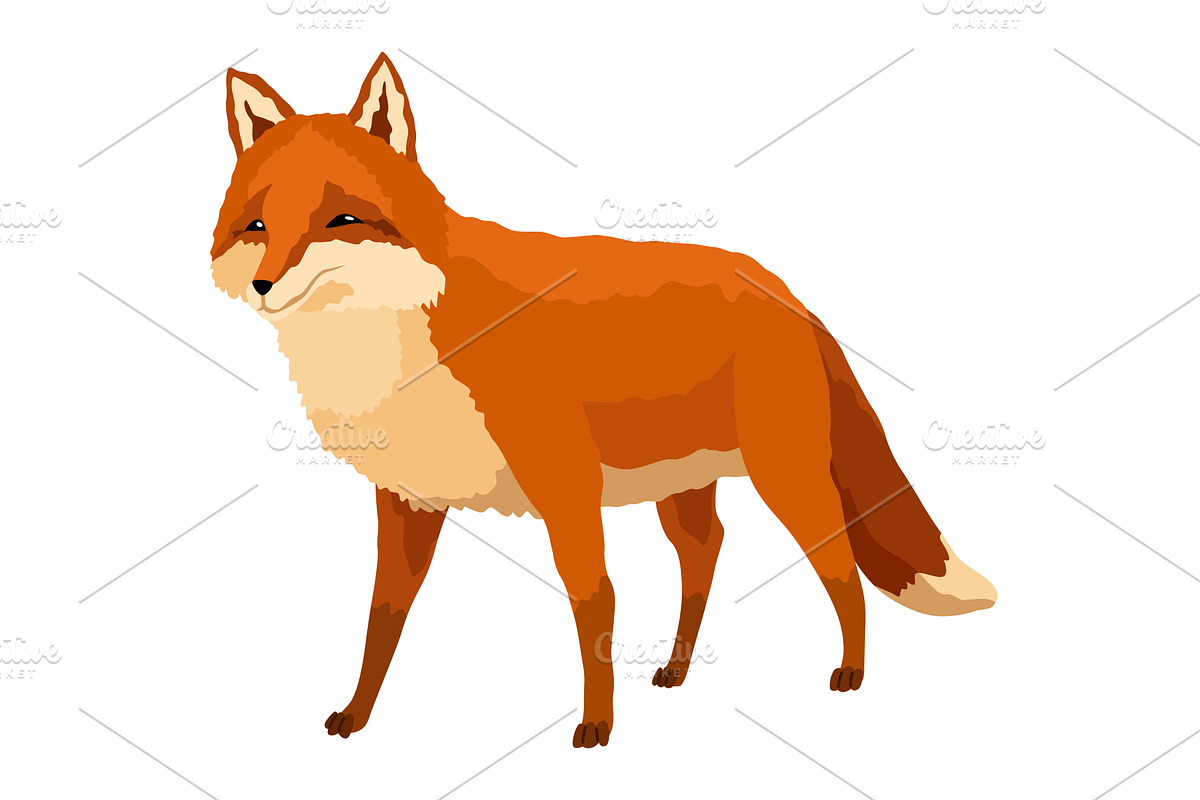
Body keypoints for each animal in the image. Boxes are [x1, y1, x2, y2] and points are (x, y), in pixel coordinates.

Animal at [210, 53, 996, 749]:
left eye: (341, 220)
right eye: (258, 225)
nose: (265, 285)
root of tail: (785, 290)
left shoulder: (565, 486)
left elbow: (595, 606)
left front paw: (597, 727)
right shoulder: (410, 498)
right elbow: (383, 618)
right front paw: (357, 715)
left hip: (786, 479)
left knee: (839, 569)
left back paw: (852, 672)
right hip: (683, 486)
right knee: (706, 550)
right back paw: (677, 671)